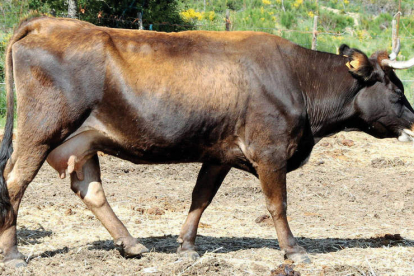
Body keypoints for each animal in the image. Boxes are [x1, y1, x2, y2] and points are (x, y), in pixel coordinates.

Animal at [0, 17, 414, 268]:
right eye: (397, 92)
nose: (413, 120)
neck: (298, 81)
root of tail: (46, 22)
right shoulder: (270, 152)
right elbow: (277, 205)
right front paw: (294, 250)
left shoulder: (220, 154)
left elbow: (201, 197)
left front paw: (186, 246)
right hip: (40, 132)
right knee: (14, 183)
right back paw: (13, 254)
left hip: (81, 141)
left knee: (91, 190)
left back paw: (131, 244)